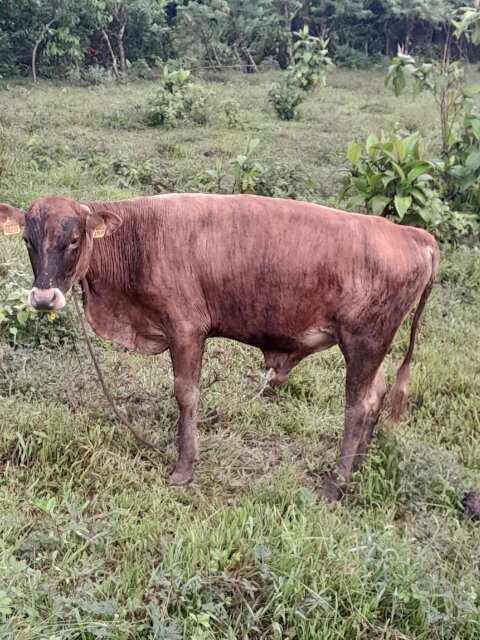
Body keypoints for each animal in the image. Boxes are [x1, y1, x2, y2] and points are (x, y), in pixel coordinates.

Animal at [0, 194, 439, 500]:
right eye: (28, 240)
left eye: (74, 239)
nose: (44, 298)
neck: (140, 239)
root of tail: (412, 234)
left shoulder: (185, 328)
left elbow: (186, 394)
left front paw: (184, 467)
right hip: (371, 347)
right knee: (375, 395)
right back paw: (359, 466)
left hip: (364, 341)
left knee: (357, 406)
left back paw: (336, 483)